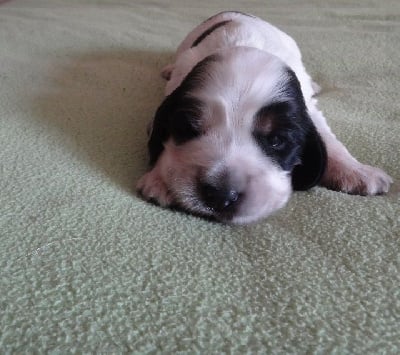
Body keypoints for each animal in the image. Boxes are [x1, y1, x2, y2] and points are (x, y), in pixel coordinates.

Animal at [136, 11, 392, 225]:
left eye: (277, 140)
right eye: (188, 128)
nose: (221, 195)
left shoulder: (307, 107)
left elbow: (328, 138)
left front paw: (357, 171)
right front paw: (159, 180)